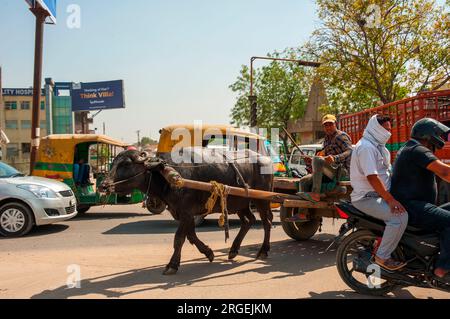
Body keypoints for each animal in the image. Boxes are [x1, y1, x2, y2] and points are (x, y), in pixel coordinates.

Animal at [101, 149, 274, 276]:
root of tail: (266, 160)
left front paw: (172, 265)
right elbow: (191, 236)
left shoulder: (186, 212)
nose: (103, 185)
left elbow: (179, 238)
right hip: (240, 204)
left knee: (267, 222)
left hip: (262, 200)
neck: (168, 176)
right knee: (248, 221)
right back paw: (233, 250)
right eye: (113, 162)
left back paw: (263, 251)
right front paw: (208, 252)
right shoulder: (184, 213)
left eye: (126, 164)